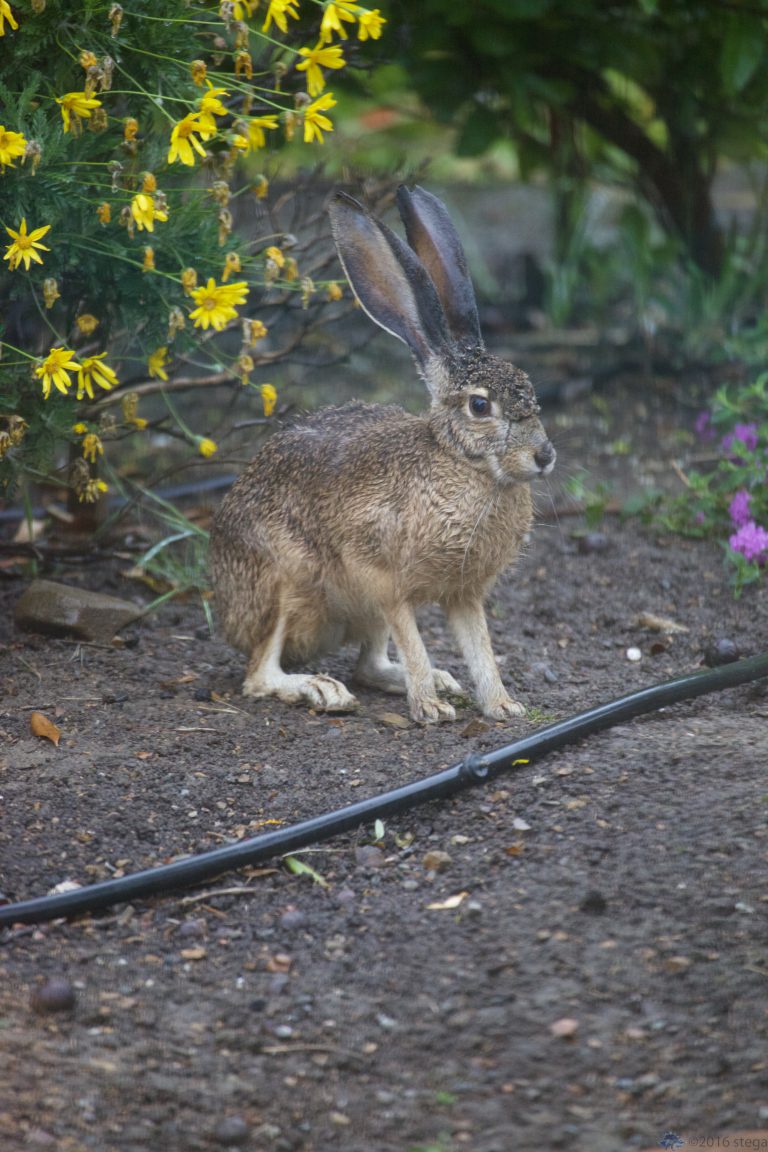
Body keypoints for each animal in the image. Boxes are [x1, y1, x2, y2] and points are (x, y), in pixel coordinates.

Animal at [209, 185, 556, 724]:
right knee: (260, 674)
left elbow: (481, 648)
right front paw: (430, 710)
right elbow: (413, 640)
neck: (461, 466)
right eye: (480, 406)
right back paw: (322, 690)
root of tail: (228, 616)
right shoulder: (387, 584)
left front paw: (502, 706)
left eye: (530, 391)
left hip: (356, 613)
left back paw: (440, 680)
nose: (544, 456)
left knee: (369, 665)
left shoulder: (464, 595)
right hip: (286, 581)